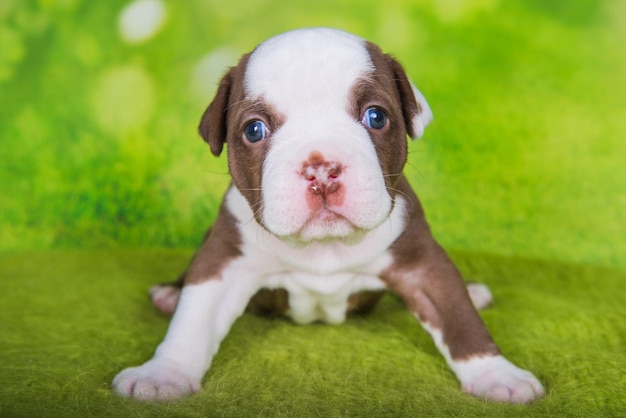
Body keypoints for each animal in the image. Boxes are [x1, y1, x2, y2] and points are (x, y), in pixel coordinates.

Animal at [111, 27, 540, 404]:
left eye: (376, 117)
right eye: (254, 129)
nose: (320, 169)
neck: (325, 245)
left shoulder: (422, 265)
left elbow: (458, 317)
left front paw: (497, 375)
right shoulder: (223, 261)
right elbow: (193, 321)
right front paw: (162, 374)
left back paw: (475, 291)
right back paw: (171, 292)